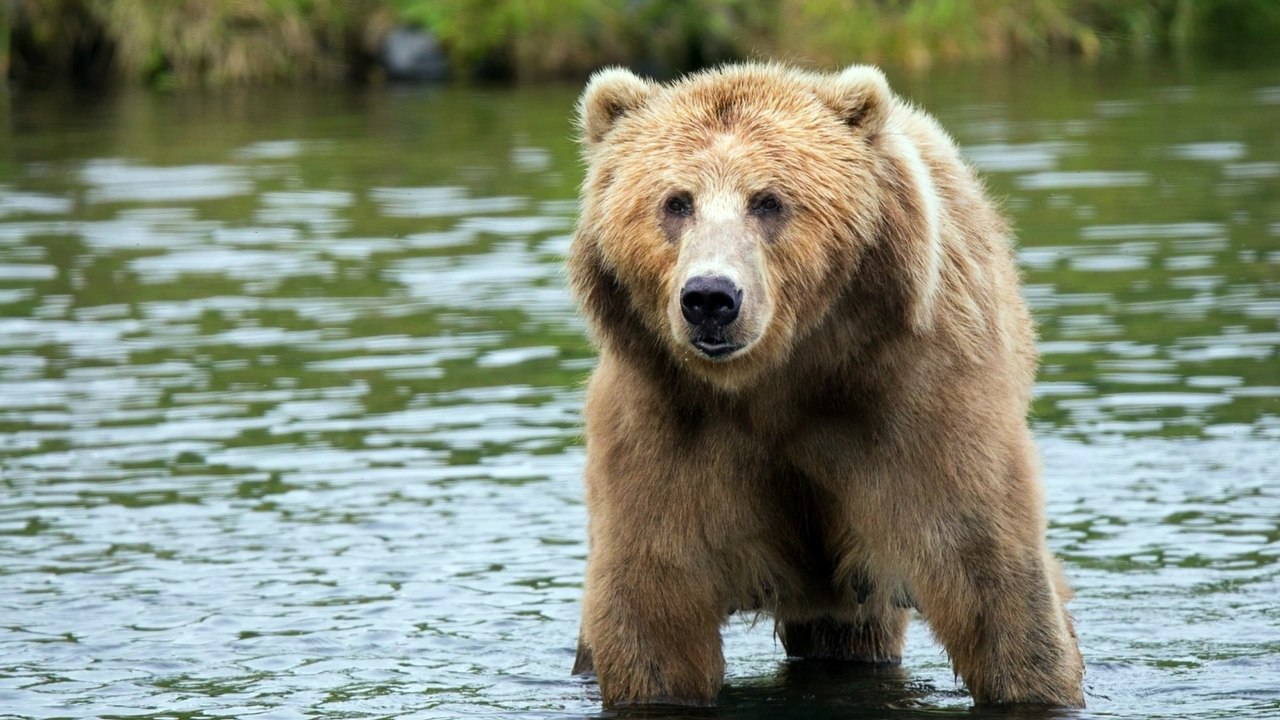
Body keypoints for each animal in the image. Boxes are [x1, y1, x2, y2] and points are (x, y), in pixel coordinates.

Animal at [565, 62, 1085, 709]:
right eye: (675, 202)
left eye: (768, 201)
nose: (710, 298)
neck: (780, 379)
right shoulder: (667, 423)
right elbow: (654, 605)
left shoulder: (915, 401)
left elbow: (990, 573)